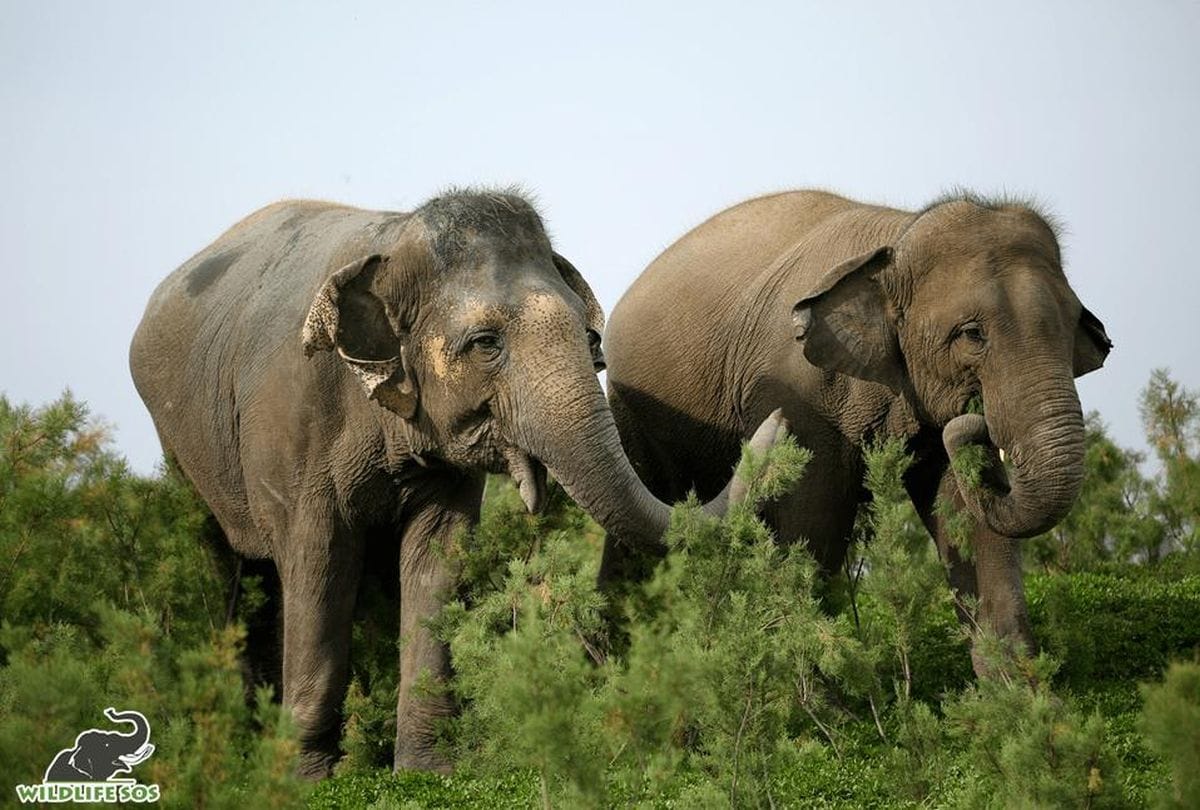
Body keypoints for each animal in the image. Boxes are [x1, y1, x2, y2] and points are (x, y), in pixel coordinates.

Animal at [130, 189, 784, 777]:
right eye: (485, 343)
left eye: (589, 338)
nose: (776, 417)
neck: (396, 242)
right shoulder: (295, 427)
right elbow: (319, 563)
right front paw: (304, 779)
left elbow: (439, 557)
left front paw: (428, 771)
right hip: (180, 444)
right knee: (229, 562)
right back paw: (246, 742)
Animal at [601, 189, 1111, 666]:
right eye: (972, 334)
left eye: (1071, 327)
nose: (974, 420)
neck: (897, 240)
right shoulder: (796, 393)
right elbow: (811, 530)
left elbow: (972, 525)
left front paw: (1024, 694)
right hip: (636, 417)